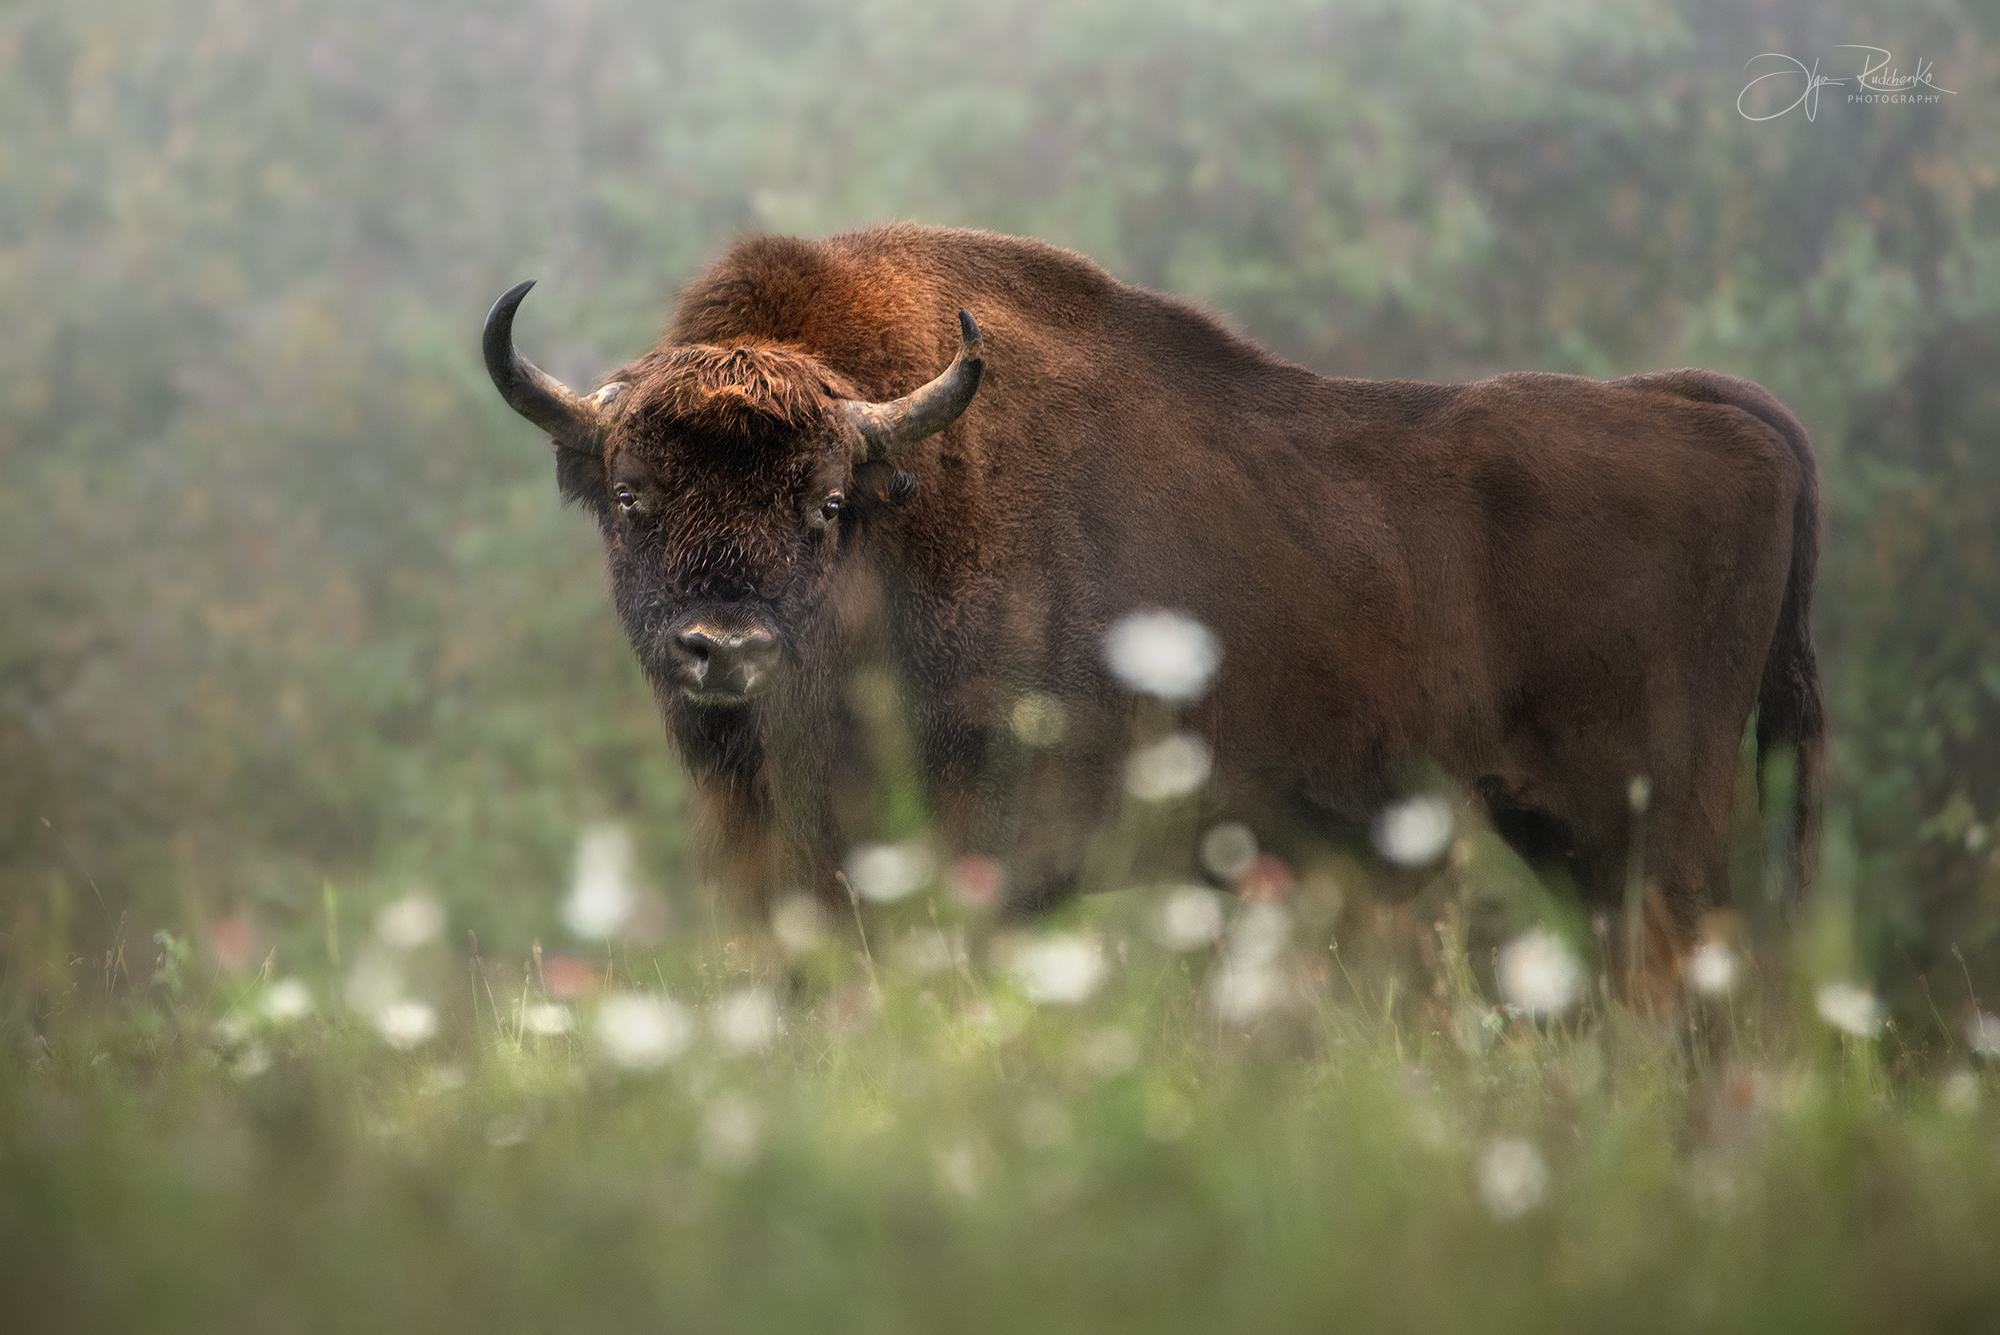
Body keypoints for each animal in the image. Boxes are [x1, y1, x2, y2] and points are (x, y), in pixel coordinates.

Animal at [480, 223, 1816, 963]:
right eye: (632, 496)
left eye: (822, 505)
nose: (723, 648)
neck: (901, 506)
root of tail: (1709, 413)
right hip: (1569, 835)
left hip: (1657, 820)